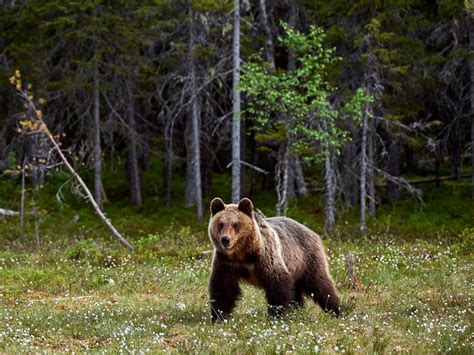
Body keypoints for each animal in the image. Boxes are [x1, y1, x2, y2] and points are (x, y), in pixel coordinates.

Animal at [207, 197, 340, 322]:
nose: (225, 239)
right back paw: (298, 310)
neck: (242, 254)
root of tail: (311, 230)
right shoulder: (226, 262)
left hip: (307, 258)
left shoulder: (266, 257)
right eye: (221, 224)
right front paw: (219, 316)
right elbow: (223, 288)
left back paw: (336, 310)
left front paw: (277, 315)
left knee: (320, 284)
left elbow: (277, 283)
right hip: (294, 267)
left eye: (236, 224)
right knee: (297, 290)